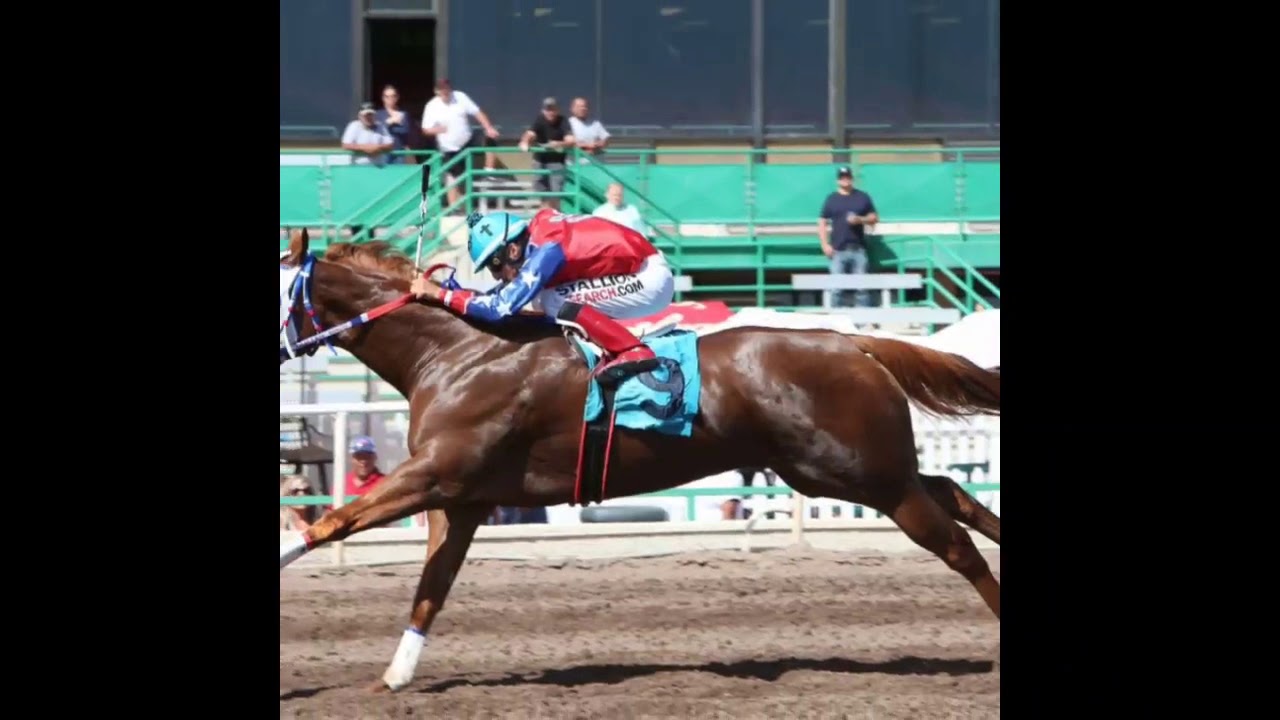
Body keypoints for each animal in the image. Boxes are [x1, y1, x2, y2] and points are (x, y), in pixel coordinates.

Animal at [277, 228, 1002, 692]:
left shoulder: (432, 475)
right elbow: (432, 587)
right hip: (842, 468)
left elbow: (335, 522)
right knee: (952, 490)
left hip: (861, 473)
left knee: (955, 542)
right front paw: (394, 678)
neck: (456, 353)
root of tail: (856, 344)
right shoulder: (462, 498)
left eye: (279, 288)